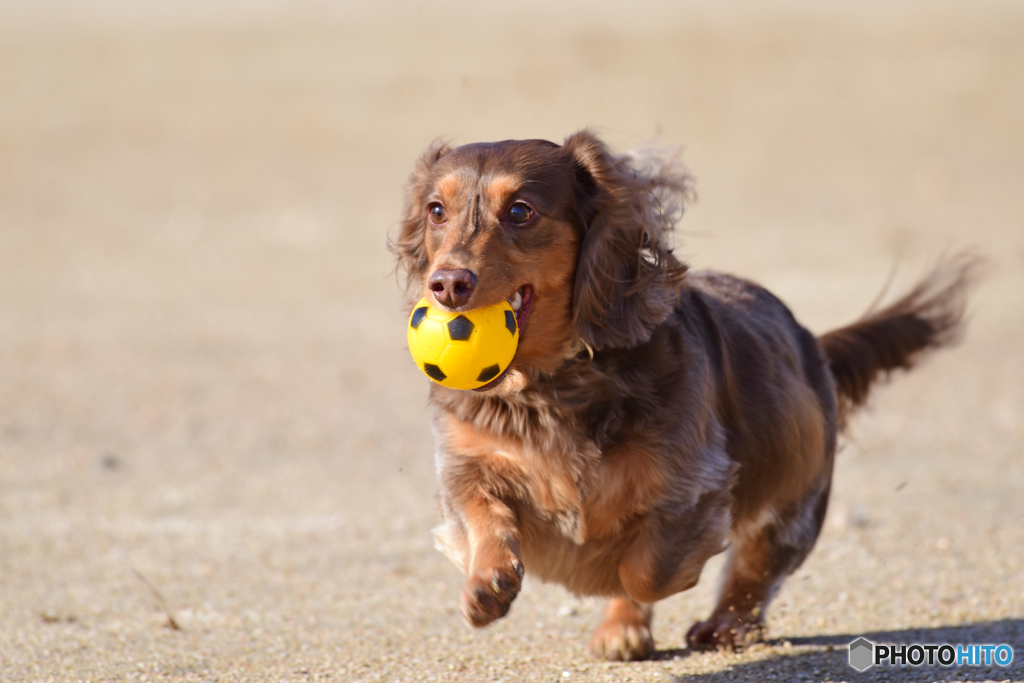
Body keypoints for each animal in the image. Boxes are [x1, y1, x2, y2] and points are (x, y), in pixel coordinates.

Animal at [389, 131, 974, 659]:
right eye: (436, 210)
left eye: (520, 211)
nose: (447, 284)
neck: (550, 387)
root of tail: (812, 342)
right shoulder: (465, 461)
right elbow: (480, 513)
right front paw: (487, 583)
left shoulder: (692, 484)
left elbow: (643, 568)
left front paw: (607, 573)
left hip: (795, 495)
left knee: (757, 568)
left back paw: (723, 625)